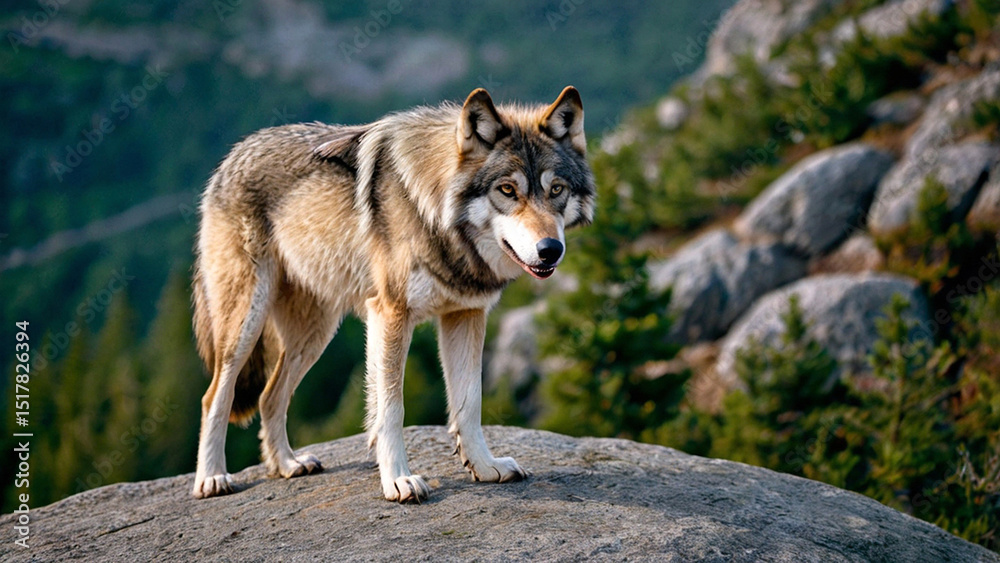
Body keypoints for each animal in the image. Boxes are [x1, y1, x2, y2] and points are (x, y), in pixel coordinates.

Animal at [191, 86, 595, 502]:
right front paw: (398, 480)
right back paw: (212, 478)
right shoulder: (390, 315)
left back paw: (287, 465)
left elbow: (469, 404)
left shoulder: (465, 314)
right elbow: (390, 409)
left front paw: (485, 467)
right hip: (245, 324)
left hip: (314, 336)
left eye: (556, 190)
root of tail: (235, 153)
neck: (433, 213)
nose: (550, 250)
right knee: (215, 396)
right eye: (508, 190)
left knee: (269, 396)